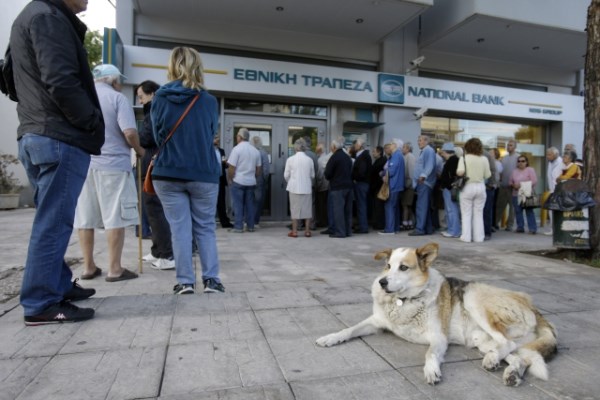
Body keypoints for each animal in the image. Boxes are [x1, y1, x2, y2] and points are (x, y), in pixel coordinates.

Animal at [316, 242, 556, 386]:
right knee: (518, 357)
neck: (405, 301)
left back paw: (492, 361)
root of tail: (532, 305)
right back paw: (509, 371)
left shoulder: (438, 338)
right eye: (388, 265)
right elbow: (349, 329)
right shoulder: (376, 322)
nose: (382, 282)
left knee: (507, 342)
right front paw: (330, 338)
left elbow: (430, 354)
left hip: (473, 298)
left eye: (403, 267)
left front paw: (431, 370)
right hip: (482, 340)